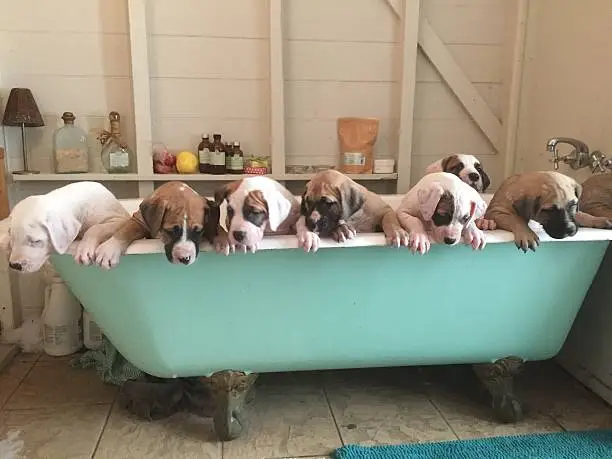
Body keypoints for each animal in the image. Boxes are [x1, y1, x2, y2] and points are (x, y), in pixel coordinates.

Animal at [0, 181, 128, 274]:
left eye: (36, 241)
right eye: (13, 238)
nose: (15, 265)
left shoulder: (119, 219)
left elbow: (95, 228)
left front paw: (84, 249)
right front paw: (5, 241)